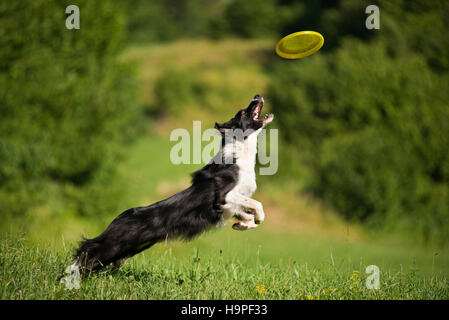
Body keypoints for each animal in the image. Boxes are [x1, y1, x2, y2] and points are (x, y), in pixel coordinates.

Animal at [70, 94, 272, 276]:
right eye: (242, 112)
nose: (257, 95)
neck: (240, 151)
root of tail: (120, 217)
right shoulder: (223, 196)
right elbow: (258, 205)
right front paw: (256, 219)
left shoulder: (233, 204)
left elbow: (248, 212)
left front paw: (242, 225)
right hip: (116, 244)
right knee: (88, 248)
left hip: (129, 249)